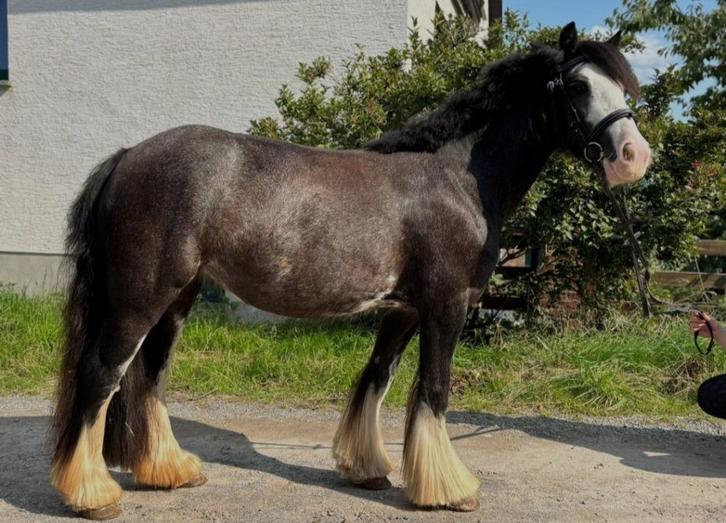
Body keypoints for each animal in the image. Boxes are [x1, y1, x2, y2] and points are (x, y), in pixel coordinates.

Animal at [50, 22, 651, 519]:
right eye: (578, 86)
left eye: (623, 89)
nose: (634, 156)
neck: (456, 178)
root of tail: (127, 156)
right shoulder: (446, 305)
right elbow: (434, 390)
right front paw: (450, 490)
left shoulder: (404, 310)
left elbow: (377, 378)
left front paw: (369, 471)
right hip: (141, 295)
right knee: (102, 374)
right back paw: (94, 494)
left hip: (178, 298)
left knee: (149, 375)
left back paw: (170, 471)